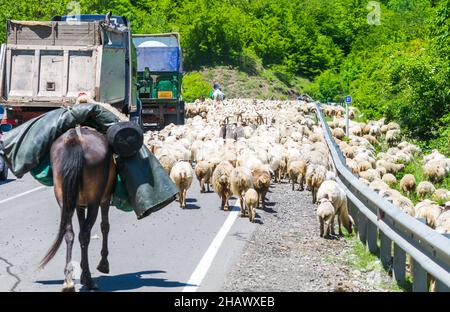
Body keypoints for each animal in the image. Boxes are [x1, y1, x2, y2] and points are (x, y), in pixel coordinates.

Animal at [38, 125, 115, 292]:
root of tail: (75, 139)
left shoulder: (79, 203)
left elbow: (80, 228)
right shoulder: (105, 199)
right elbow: (105, 226)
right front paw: (103, 264)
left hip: (64, 198)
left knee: (70, 233)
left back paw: (68, 281)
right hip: (94, 201)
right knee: (85, 234)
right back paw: (89, 280)